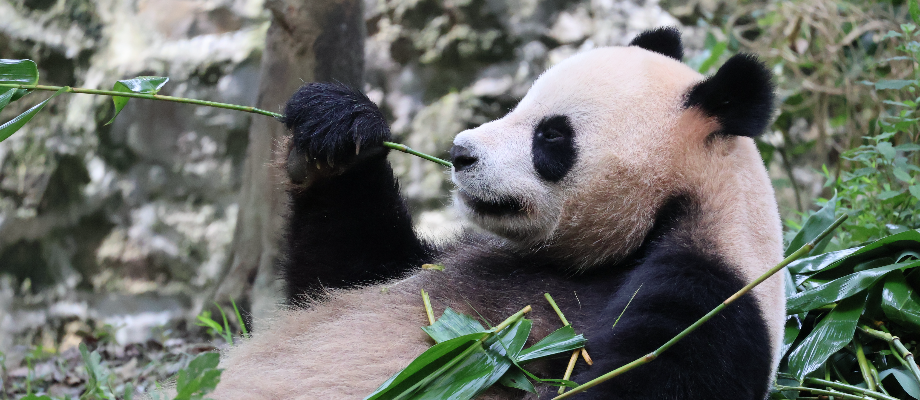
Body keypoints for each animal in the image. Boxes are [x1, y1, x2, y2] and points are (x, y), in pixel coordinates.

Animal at [210, 27, 785, 400]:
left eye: (551, 135)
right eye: (517, 104)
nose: (460, 153)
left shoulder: (711, 293)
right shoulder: (457, 256)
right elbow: (344, 273)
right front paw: (334, 127)